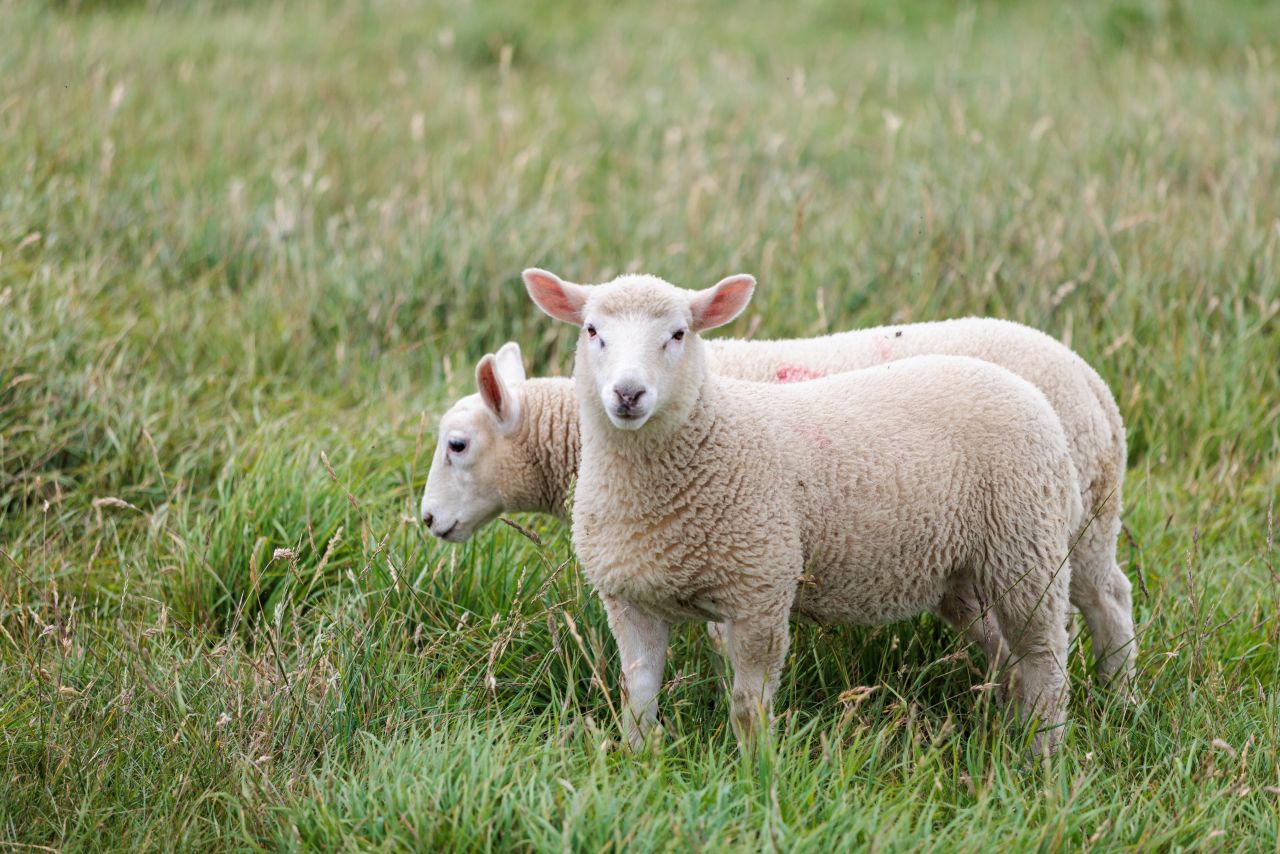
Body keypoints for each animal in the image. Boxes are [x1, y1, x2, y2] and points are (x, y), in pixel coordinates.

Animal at [422, 323, 1136, 694]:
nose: (427, 520)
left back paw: (1118, 699)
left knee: (1108, 601)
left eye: (457, 445)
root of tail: (1096, 385)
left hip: (1065, 524)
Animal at [522, 268, 1083, 756]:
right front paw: (639, 757)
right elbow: (637, 696)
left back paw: (1041, 754)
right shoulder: (629, 599)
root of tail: (1028, 391)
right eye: (592, 331)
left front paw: (756, 769)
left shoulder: (761, 590)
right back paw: (1008, 726)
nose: (628, 393)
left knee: (1045, 662)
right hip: (965, 572)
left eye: (678, 334)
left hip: (1026, 550)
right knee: (1008, 658)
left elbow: (748, 706)